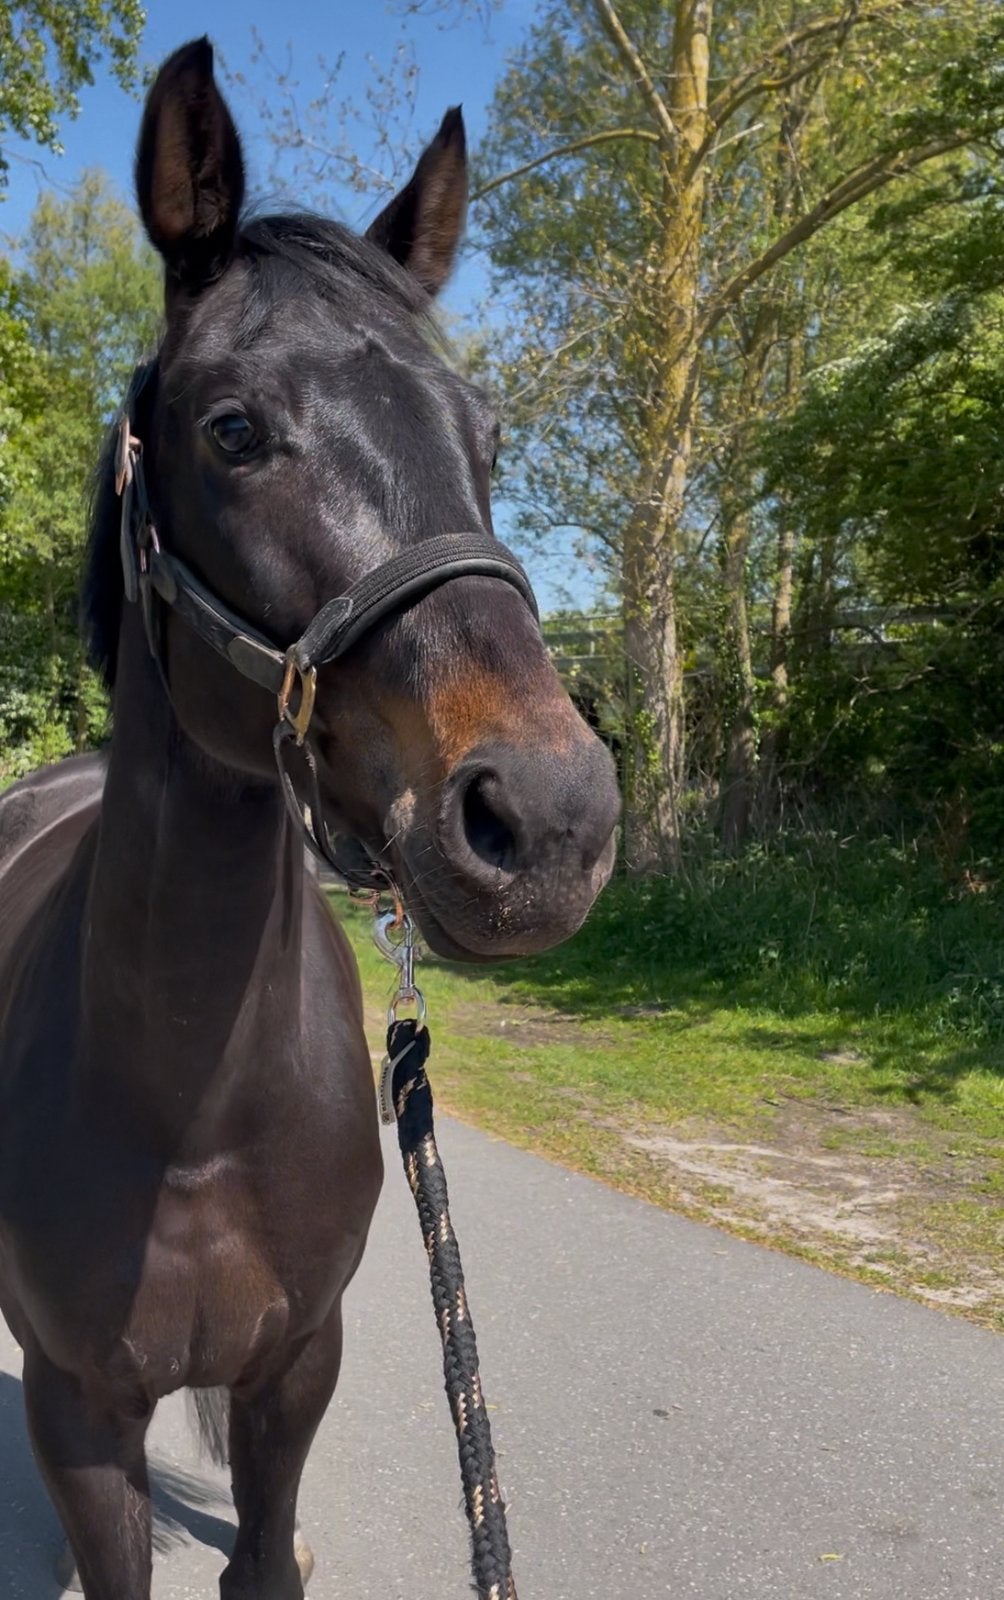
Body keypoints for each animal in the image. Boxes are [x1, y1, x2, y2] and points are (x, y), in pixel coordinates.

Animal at [0, 36, 619, 1600]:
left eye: (487, 437)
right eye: (233, 428)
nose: (549, 818)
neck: (193, 1110)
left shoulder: (299, 1365)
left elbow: (264, 1557)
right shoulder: (77, 1409)